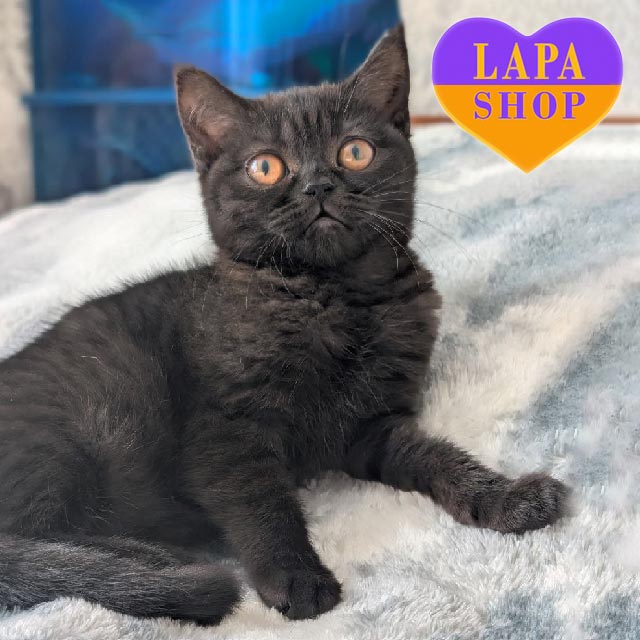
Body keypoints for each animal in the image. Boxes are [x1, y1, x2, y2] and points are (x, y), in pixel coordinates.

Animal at [0, 26, 568, 625]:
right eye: (265, 167)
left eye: (355, 152)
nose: (318, 185)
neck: (337, 298)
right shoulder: (227, 429)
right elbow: (260, 501)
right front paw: (297, 577)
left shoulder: (372, 427)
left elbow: (436, 455)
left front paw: (506, 498)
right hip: (89, 413)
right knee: (27, 546)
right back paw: (155, 561)